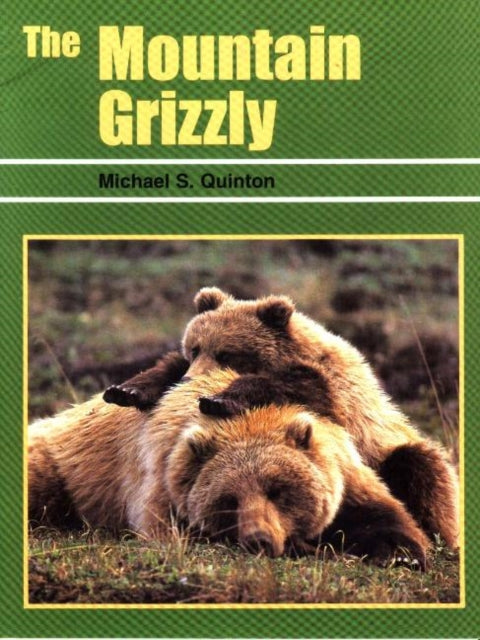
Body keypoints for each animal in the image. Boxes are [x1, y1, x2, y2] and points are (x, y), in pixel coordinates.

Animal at [29, 369, 429, 568]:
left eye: (278, 490)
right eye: (229, 500)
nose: (259, 539)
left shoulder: (344, 470)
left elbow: (383, 518)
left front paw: (399, 554)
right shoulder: (164, 477)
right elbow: (173, 533)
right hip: (59, 467)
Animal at [103, 287, 459, 549]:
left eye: (226, 353)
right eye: (194, 347)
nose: (191, 381)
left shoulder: (334, 393)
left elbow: (288, 386)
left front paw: (218, 399)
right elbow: (164, 370)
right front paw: (127, 390)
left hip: (391, 450)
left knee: (421, 466)